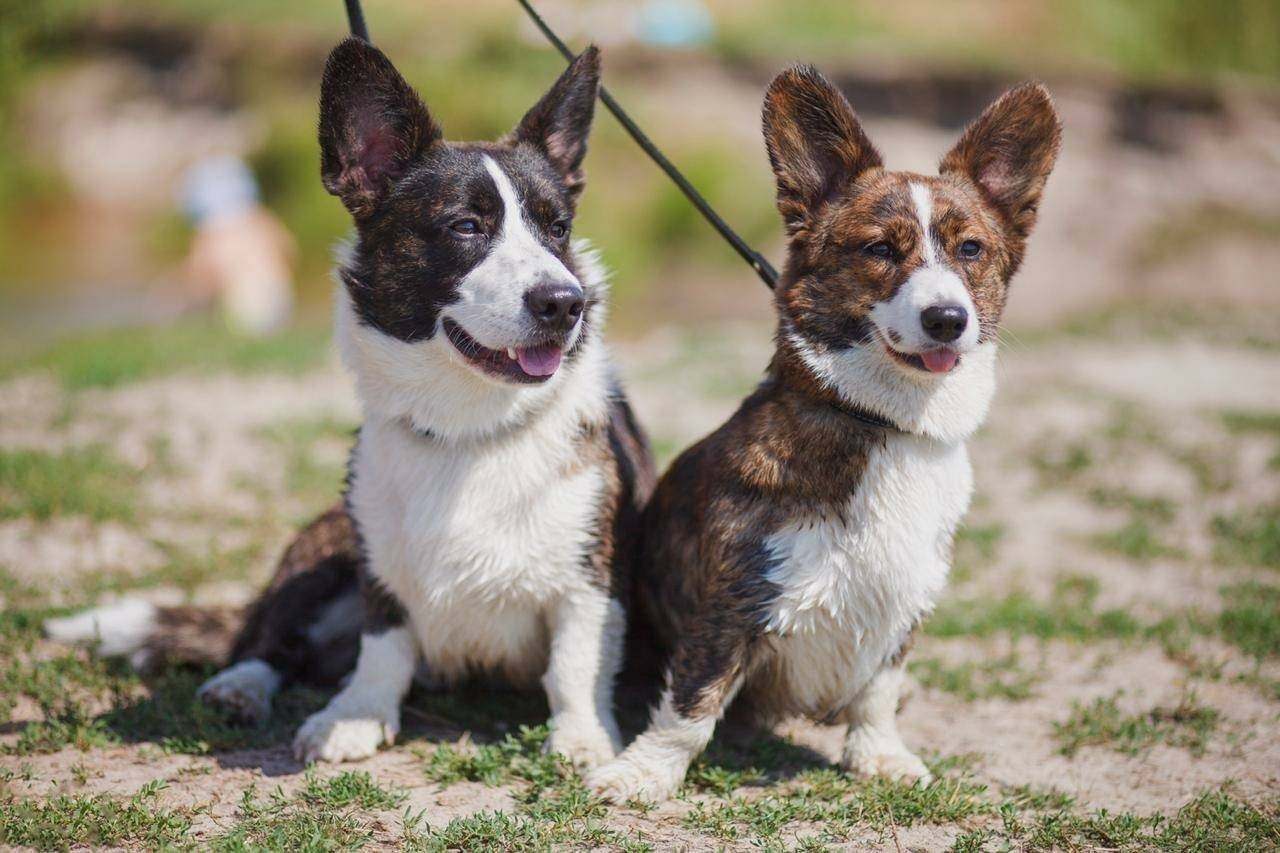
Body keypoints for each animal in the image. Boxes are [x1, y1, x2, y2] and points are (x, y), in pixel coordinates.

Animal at [588, 64, 1059, 799]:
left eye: (971, 249)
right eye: (879, 249)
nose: (947, 319)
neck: (884, 422)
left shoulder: (904, 603)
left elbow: (879, 693)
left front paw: (880, 756)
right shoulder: (731, 603)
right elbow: (690, 706)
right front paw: (643, 774)